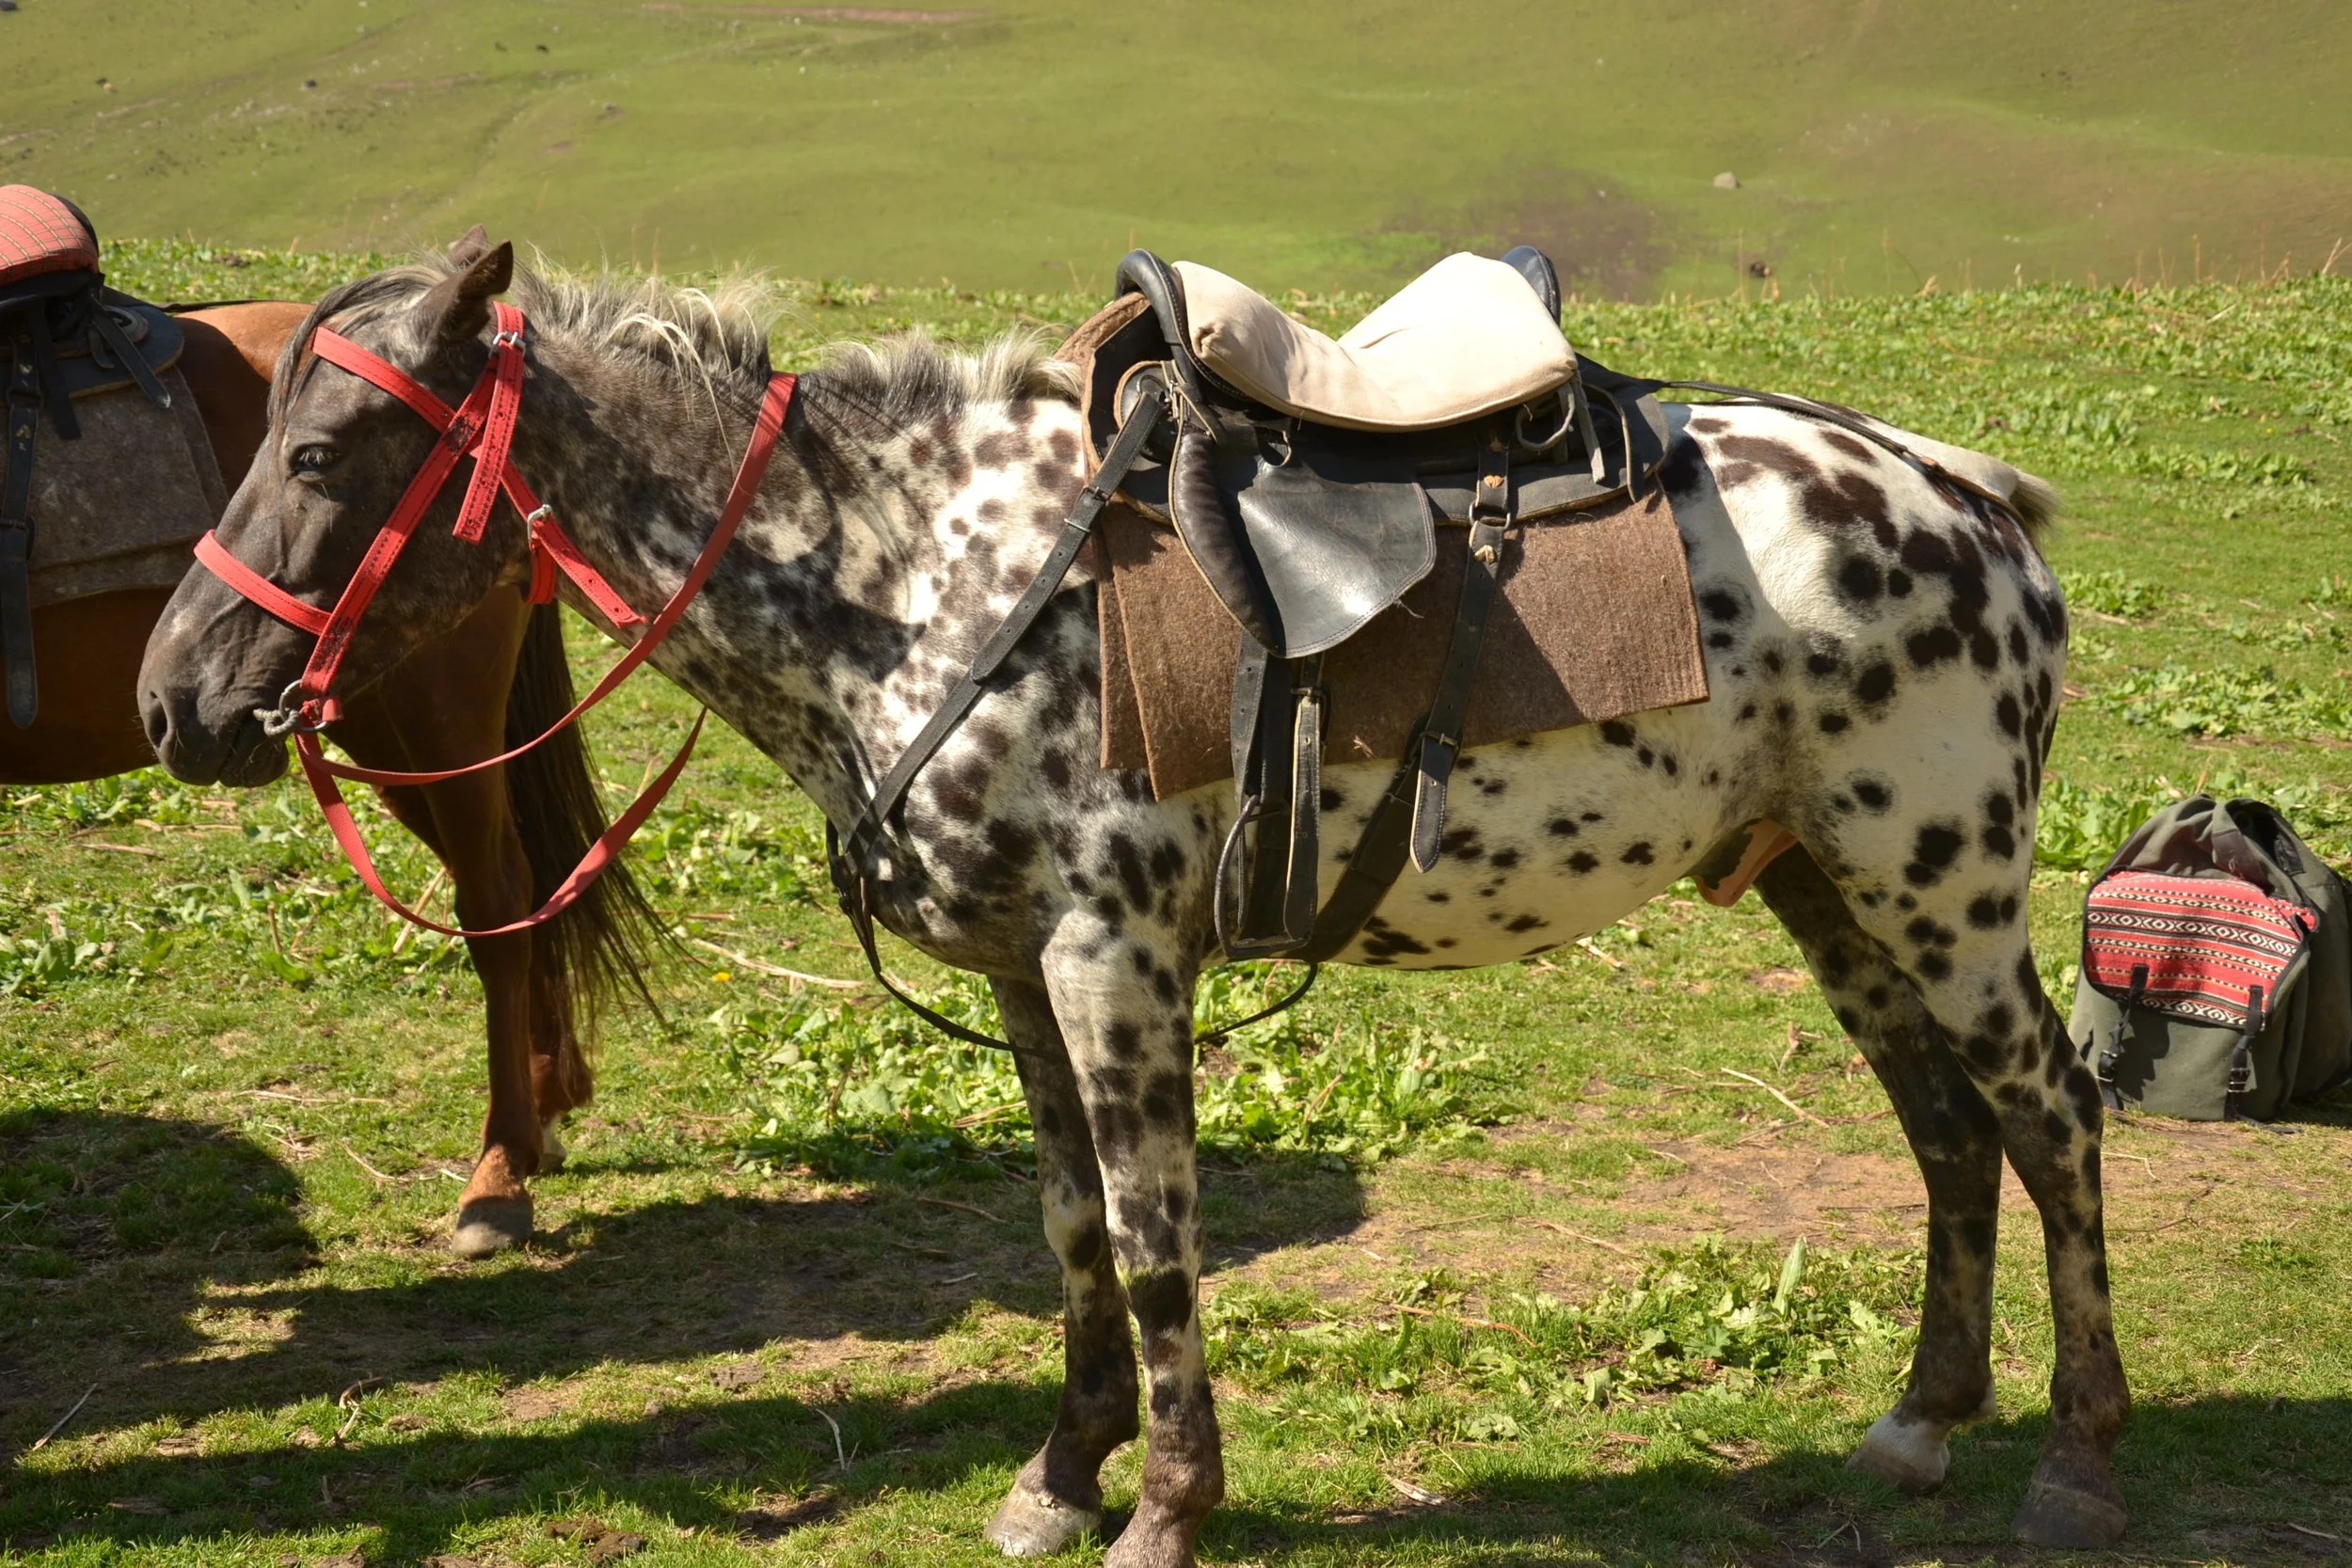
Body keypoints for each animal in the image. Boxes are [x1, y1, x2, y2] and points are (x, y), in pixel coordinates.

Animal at [4, 297, 660, 1259]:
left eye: (312, 459)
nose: (164, 700)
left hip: (434, 725)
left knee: (497, 902)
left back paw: (500, 1168)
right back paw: (546, 1106)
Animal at [136, 239, 2129, 1564]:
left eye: (318, 454)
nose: (177, 699)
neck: (917, 578)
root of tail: (1971, 498)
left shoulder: (1116, 958)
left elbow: (1159, 1234)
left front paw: (1168, 1505)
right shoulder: (1027, 976)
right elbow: (1074, 1231)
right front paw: (1062, 1470)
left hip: (1946, 893)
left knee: (2052, 1116)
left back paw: (2081, 1453)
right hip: (1829, 894)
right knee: (1948, 1134)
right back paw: (1920, 1422)